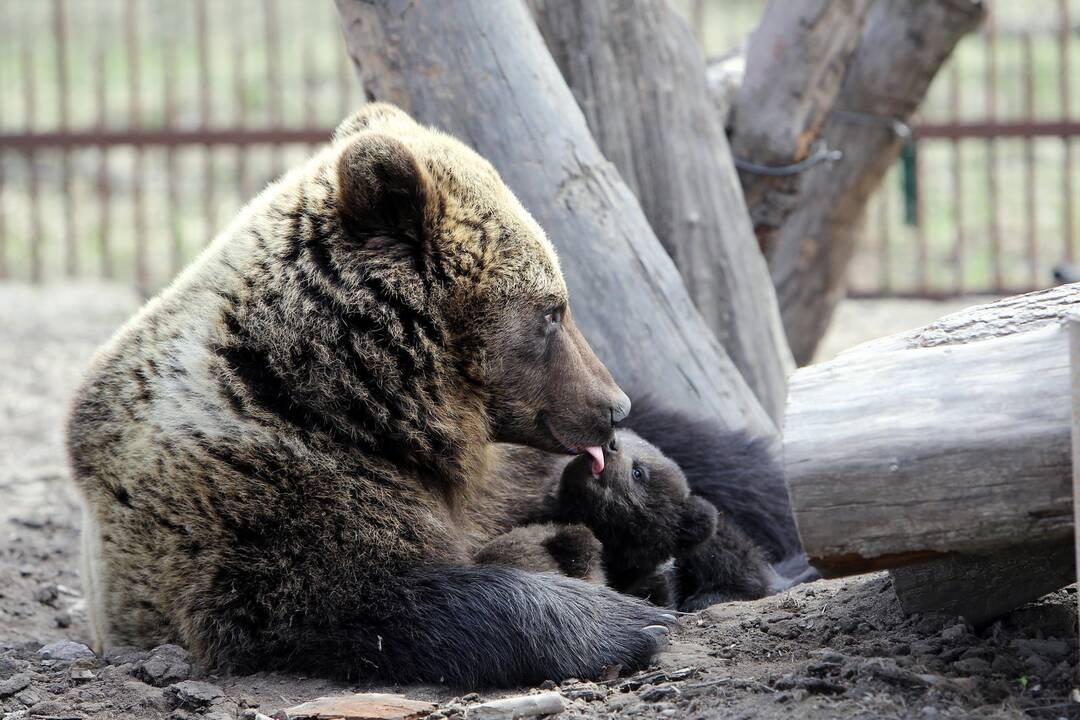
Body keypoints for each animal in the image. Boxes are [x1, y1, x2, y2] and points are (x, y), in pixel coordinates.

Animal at [63, 104, 669, 690]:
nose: (614, 407)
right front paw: (627, 620)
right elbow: (371, 601)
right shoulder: (257, 498)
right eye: (552, 312)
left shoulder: (497, 479)